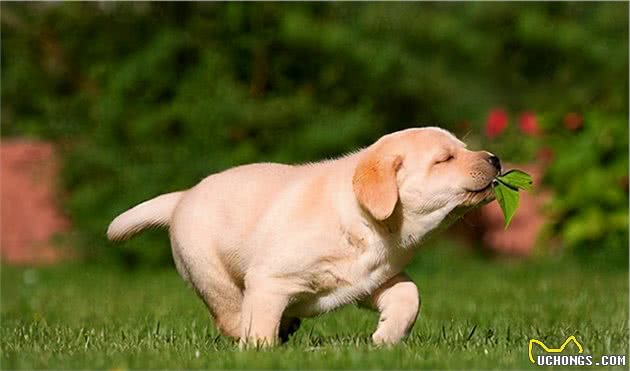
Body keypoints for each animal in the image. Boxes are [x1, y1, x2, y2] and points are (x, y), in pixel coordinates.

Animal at [110, 127, 504, 346]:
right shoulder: (269, 280)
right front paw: (260, 353)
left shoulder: (372, 278)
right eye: (444, 159)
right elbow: (260, 325)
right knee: (229, 310)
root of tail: (183, 197)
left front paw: (385, 338)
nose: (496, 159)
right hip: (207, 267)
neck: (362, 221)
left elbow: (409, 294)